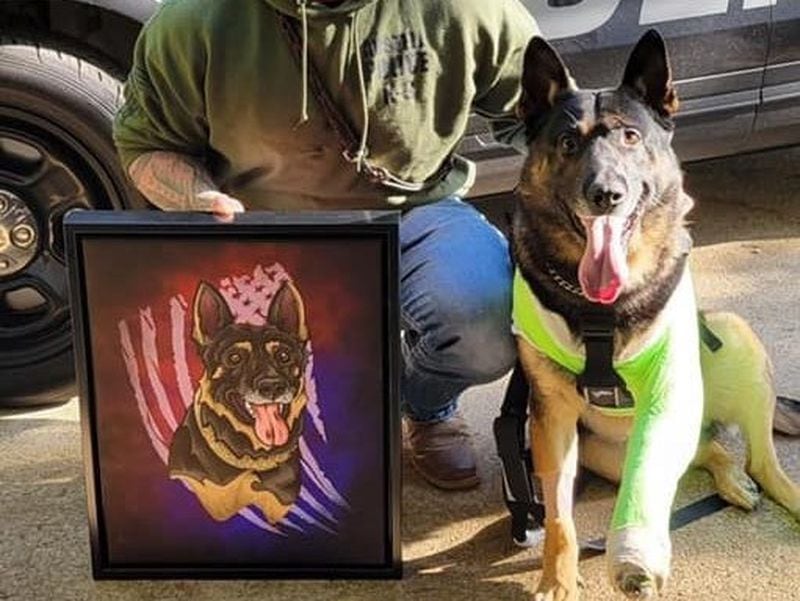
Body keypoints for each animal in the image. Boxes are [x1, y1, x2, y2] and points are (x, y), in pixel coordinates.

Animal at [512, 30, 800, 596]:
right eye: (568, 143)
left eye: (629, 137)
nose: (605, 194)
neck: (600, 308)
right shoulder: (552, 417)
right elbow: (558, 515)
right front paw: (559, 576)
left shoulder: (663, 396)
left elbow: (645, 488)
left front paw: (634, 559)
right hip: (607, 451)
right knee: (712, 452)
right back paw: (730, 479)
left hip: (735, 335)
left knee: (759, 460)